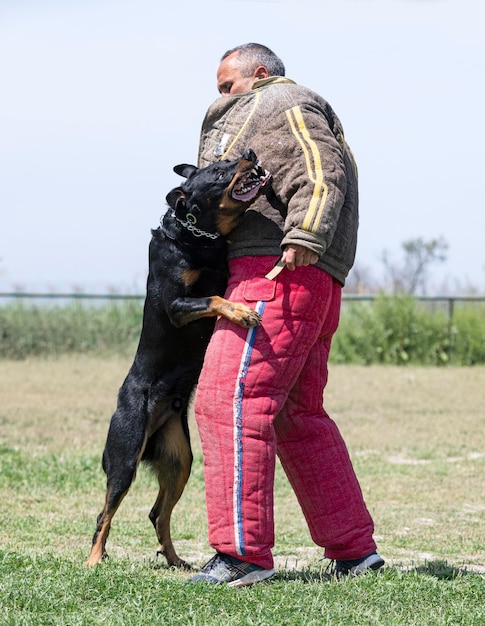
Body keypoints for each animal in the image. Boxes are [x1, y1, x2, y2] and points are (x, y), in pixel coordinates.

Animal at [85, 150, 270, 564]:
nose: (249, 153)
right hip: (125, 455)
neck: (195, 238)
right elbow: (213, 299)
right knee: (105, 514)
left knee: (157, 513)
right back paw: (93, 560)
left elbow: (218, 290)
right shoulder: (177, 305)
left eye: (228, 159)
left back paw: (174, 561)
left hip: (179, 458)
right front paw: (243, 313)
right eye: (218, 171)